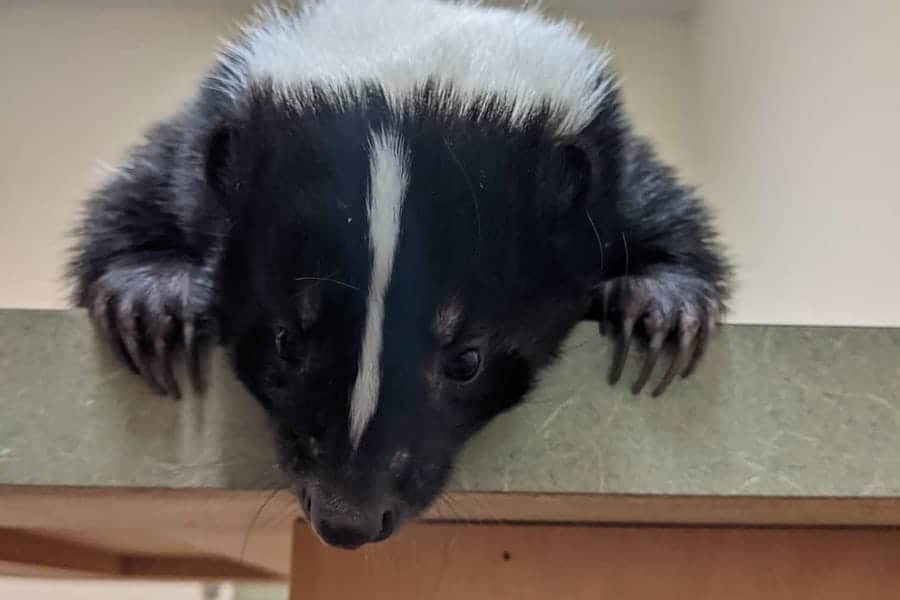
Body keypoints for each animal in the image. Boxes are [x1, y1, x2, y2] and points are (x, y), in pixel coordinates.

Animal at [68, 0, 732, 548]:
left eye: (467, 360)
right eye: (285, 340)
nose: (347, 519)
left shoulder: (607, 167)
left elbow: (660, 205)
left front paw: (660, 308)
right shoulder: (207, 133)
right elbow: (146, 186)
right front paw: (153, 298)